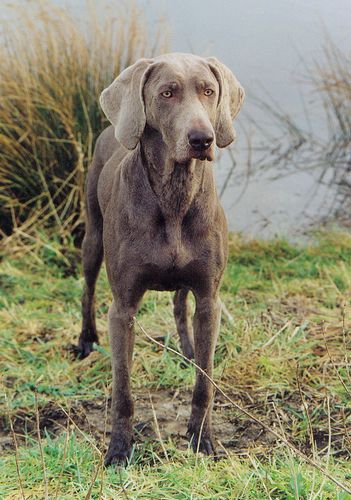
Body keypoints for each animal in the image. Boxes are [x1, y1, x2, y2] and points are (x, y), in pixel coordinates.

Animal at [77, 52, 245, 466]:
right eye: (167, 93)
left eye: (209, 91)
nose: (202, 139)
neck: (174, 195)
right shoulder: (122, 309)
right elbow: (122, 389)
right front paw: (119, 450)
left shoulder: (210, 297)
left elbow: (205, 382)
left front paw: (202, 440)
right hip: (92, 238)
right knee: (87, 288)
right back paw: (85, 341)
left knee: (180, 303)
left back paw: (188, 349)